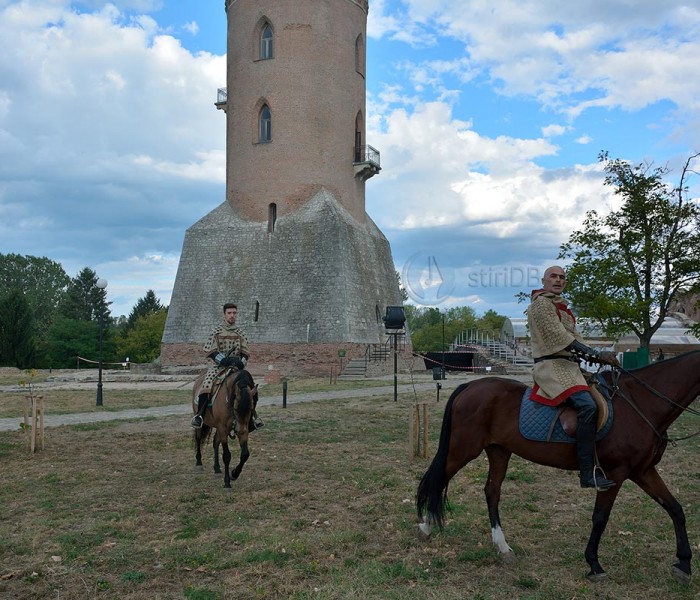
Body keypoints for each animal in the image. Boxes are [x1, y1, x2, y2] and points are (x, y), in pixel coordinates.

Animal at [416, 352, 700, 580]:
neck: (640, 403)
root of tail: (469, 386)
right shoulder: (615, 474)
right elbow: (600, 518)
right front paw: (594, 564)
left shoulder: (642, 471)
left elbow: (675, 509)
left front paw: (684, 564)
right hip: (463, 450)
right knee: (437, 480)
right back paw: (425, 528)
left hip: (499, 451)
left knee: (491, 491)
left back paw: (502, 547)